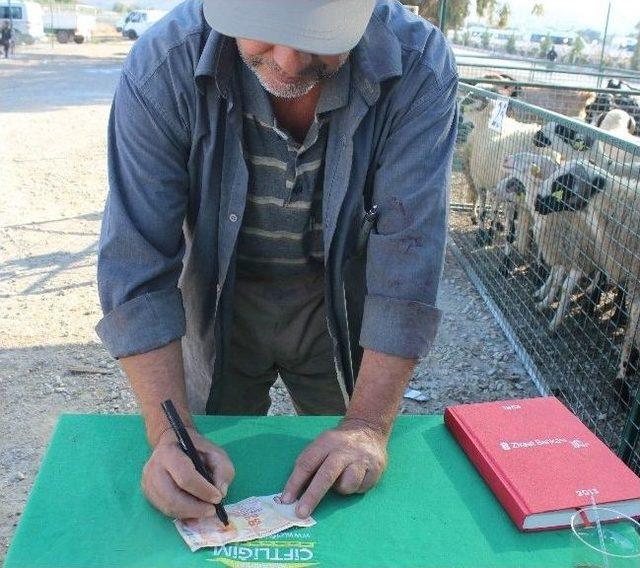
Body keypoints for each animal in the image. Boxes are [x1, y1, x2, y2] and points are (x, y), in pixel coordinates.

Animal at [496, 153, 600, 330]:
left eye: (531, 161)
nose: (505, 159)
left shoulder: (579, 257)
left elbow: (565, 288)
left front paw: (554, 322)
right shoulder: (560, 251)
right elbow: (556, 278)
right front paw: (544, 300)